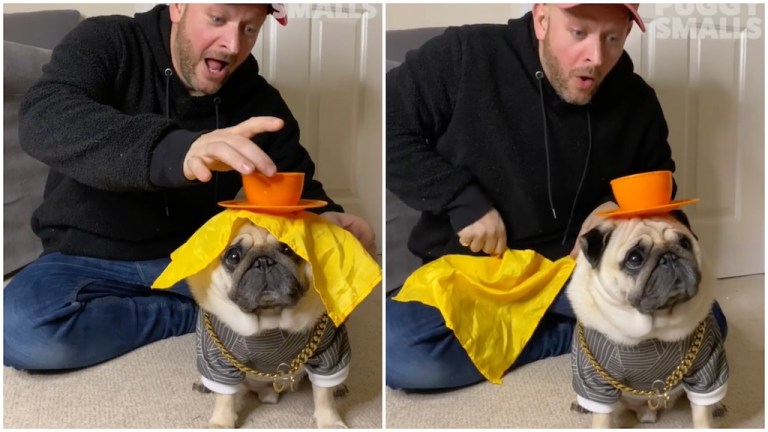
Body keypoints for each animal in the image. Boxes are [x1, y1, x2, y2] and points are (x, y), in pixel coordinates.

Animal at [186, 223, 352, 428]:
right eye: (233, 256)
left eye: (288, 249)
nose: (263, 261)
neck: (269, 319)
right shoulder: (219, 359)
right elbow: (224, 397)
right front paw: (221, 423)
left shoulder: (328, 351)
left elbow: (323, 394)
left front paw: (329, 421)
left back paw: (338, 386)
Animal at [568, 210, 728, 428]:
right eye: (634, 258)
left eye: (685, 243)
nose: (669, 256)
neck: (653, 330)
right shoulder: (595, 379)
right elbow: (601, 418)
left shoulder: (707, 366)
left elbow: (702, 413)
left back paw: (717, 406)